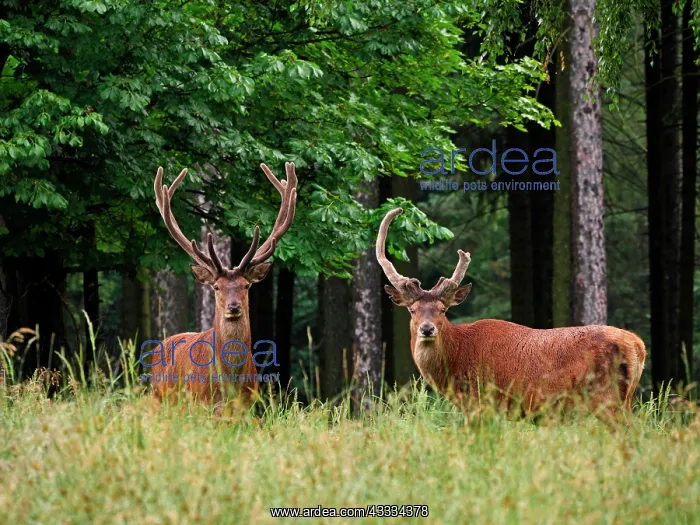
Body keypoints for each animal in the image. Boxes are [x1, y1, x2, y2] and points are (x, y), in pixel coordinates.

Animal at [147, 162, 297, 405]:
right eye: (216, 287)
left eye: (246, 285)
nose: (233, 307)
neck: (229, 385)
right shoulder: (201, 402)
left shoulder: (248, 404)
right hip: (158, 396)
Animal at [376, 208, 646, 417]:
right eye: (412, 310)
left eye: (443, 310)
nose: (427, 328)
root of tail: (637, 345)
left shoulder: (484, 402)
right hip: (625, 399)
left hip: (606, 396)